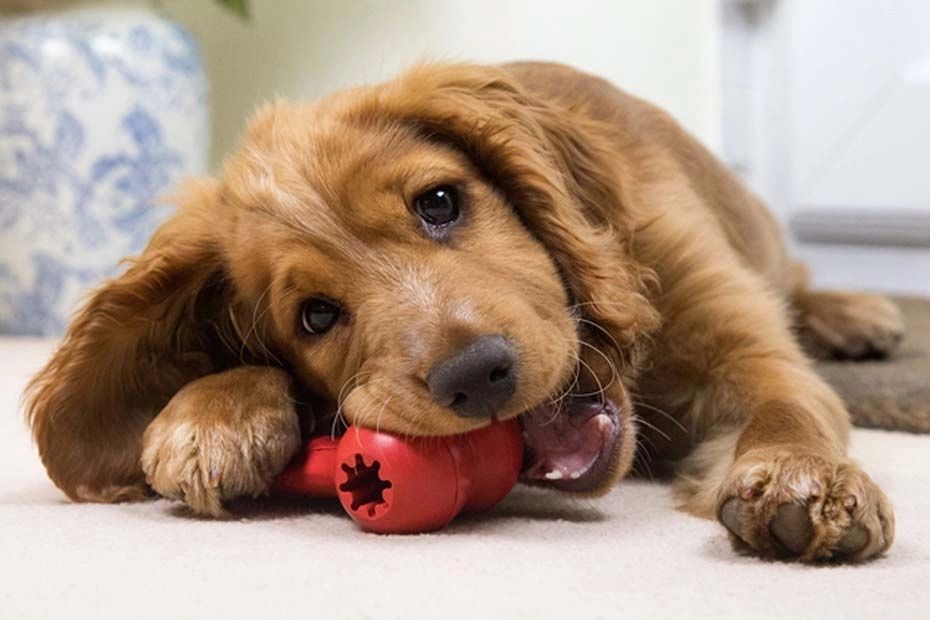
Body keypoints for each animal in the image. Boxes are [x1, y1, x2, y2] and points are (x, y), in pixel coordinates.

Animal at [27, 61, 900, 560]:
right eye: (315, 316)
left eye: (440, 202)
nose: (476, 377)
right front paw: (210, 414)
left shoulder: (741, 341)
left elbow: (789, 405)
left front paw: (810, 481)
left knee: (799, 279)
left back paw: (858, 312)